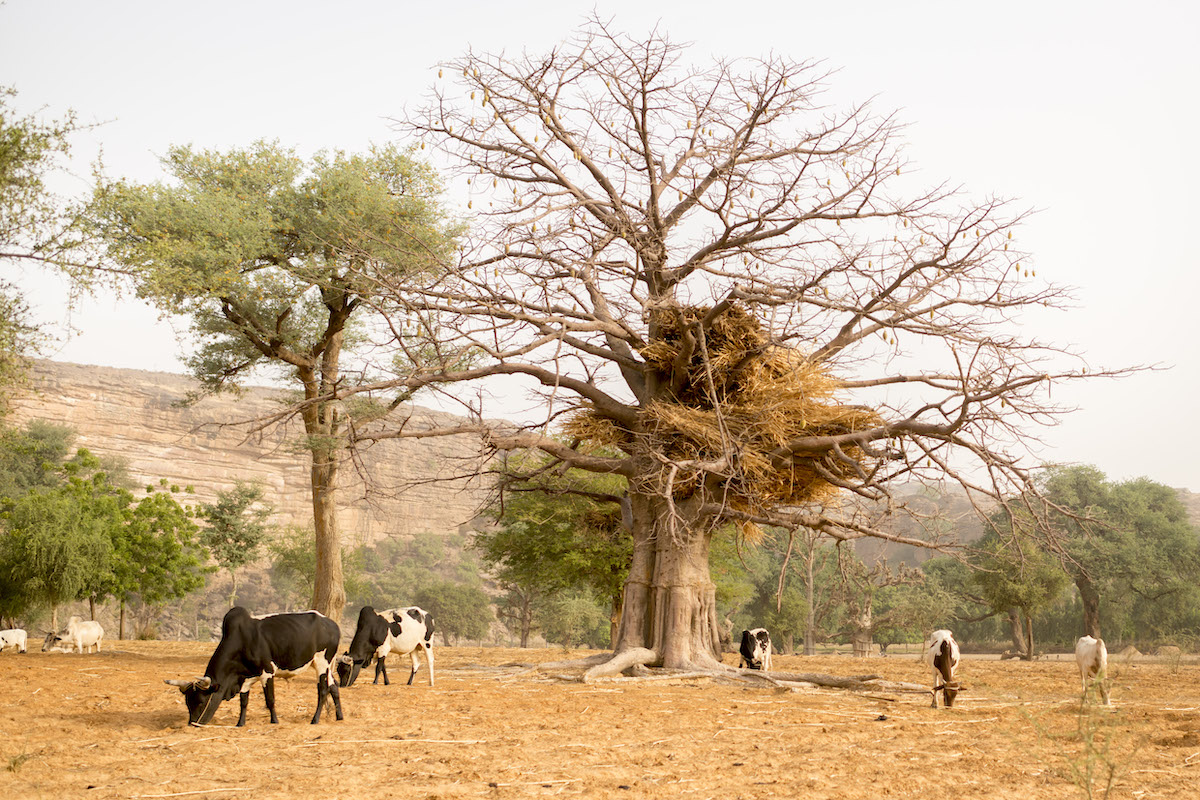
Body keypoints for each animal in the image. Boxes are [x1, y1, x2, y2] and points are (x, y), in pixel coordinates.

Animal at [163, 609, 343, 729]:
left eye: (201, 701)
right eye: (188, 702)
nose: (192, 724)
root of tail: (332, 624)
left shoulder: (267, 673)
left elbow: (270, 700)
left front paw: (274, 721)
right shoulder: (245, 679)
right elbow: (244, 702)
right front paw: (240, 723)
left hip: (321, 664)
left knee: (323, 690)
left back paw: (315, 719)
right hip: (327, 666)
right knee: (334, 687)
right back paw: (339, 717)